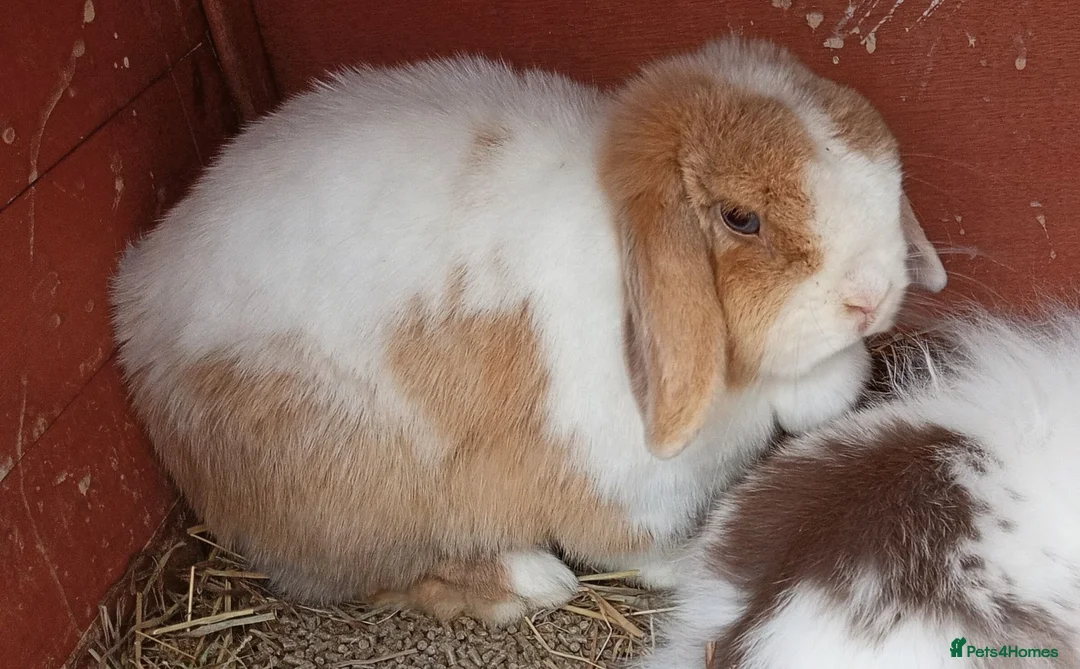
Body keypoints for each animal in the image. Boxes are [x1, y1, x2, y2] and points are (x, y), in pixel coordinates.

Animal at [110, 35, 946, 624]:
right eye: (741, 218)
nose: (873, 293)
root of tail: (136, 312)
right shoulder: (616, 480)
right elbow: (643, 547)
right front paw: (689, 560)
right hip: (351, 496)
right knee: (369, 575)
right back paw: (525, 581)